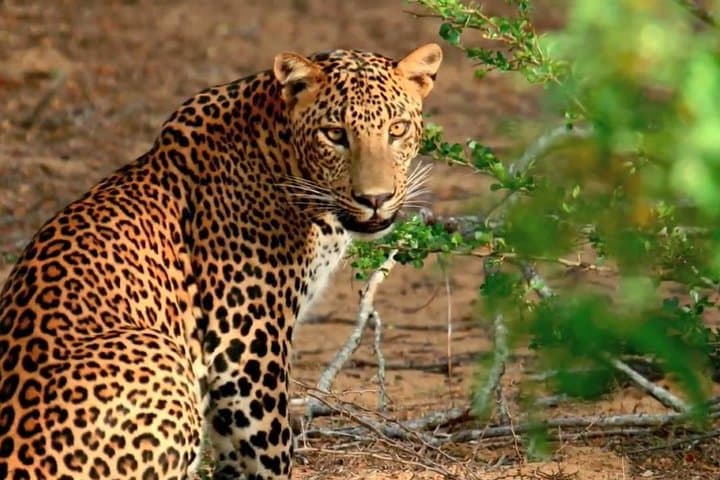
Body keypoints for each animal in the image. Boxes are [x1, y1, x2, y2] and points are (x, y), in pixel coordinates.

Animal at [0, 43, 442, 479]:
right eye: (334, 134)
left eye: (397, 129)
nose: (375, 199)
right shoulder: (245, 342)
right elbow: (270, 448)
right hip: (164, 363)